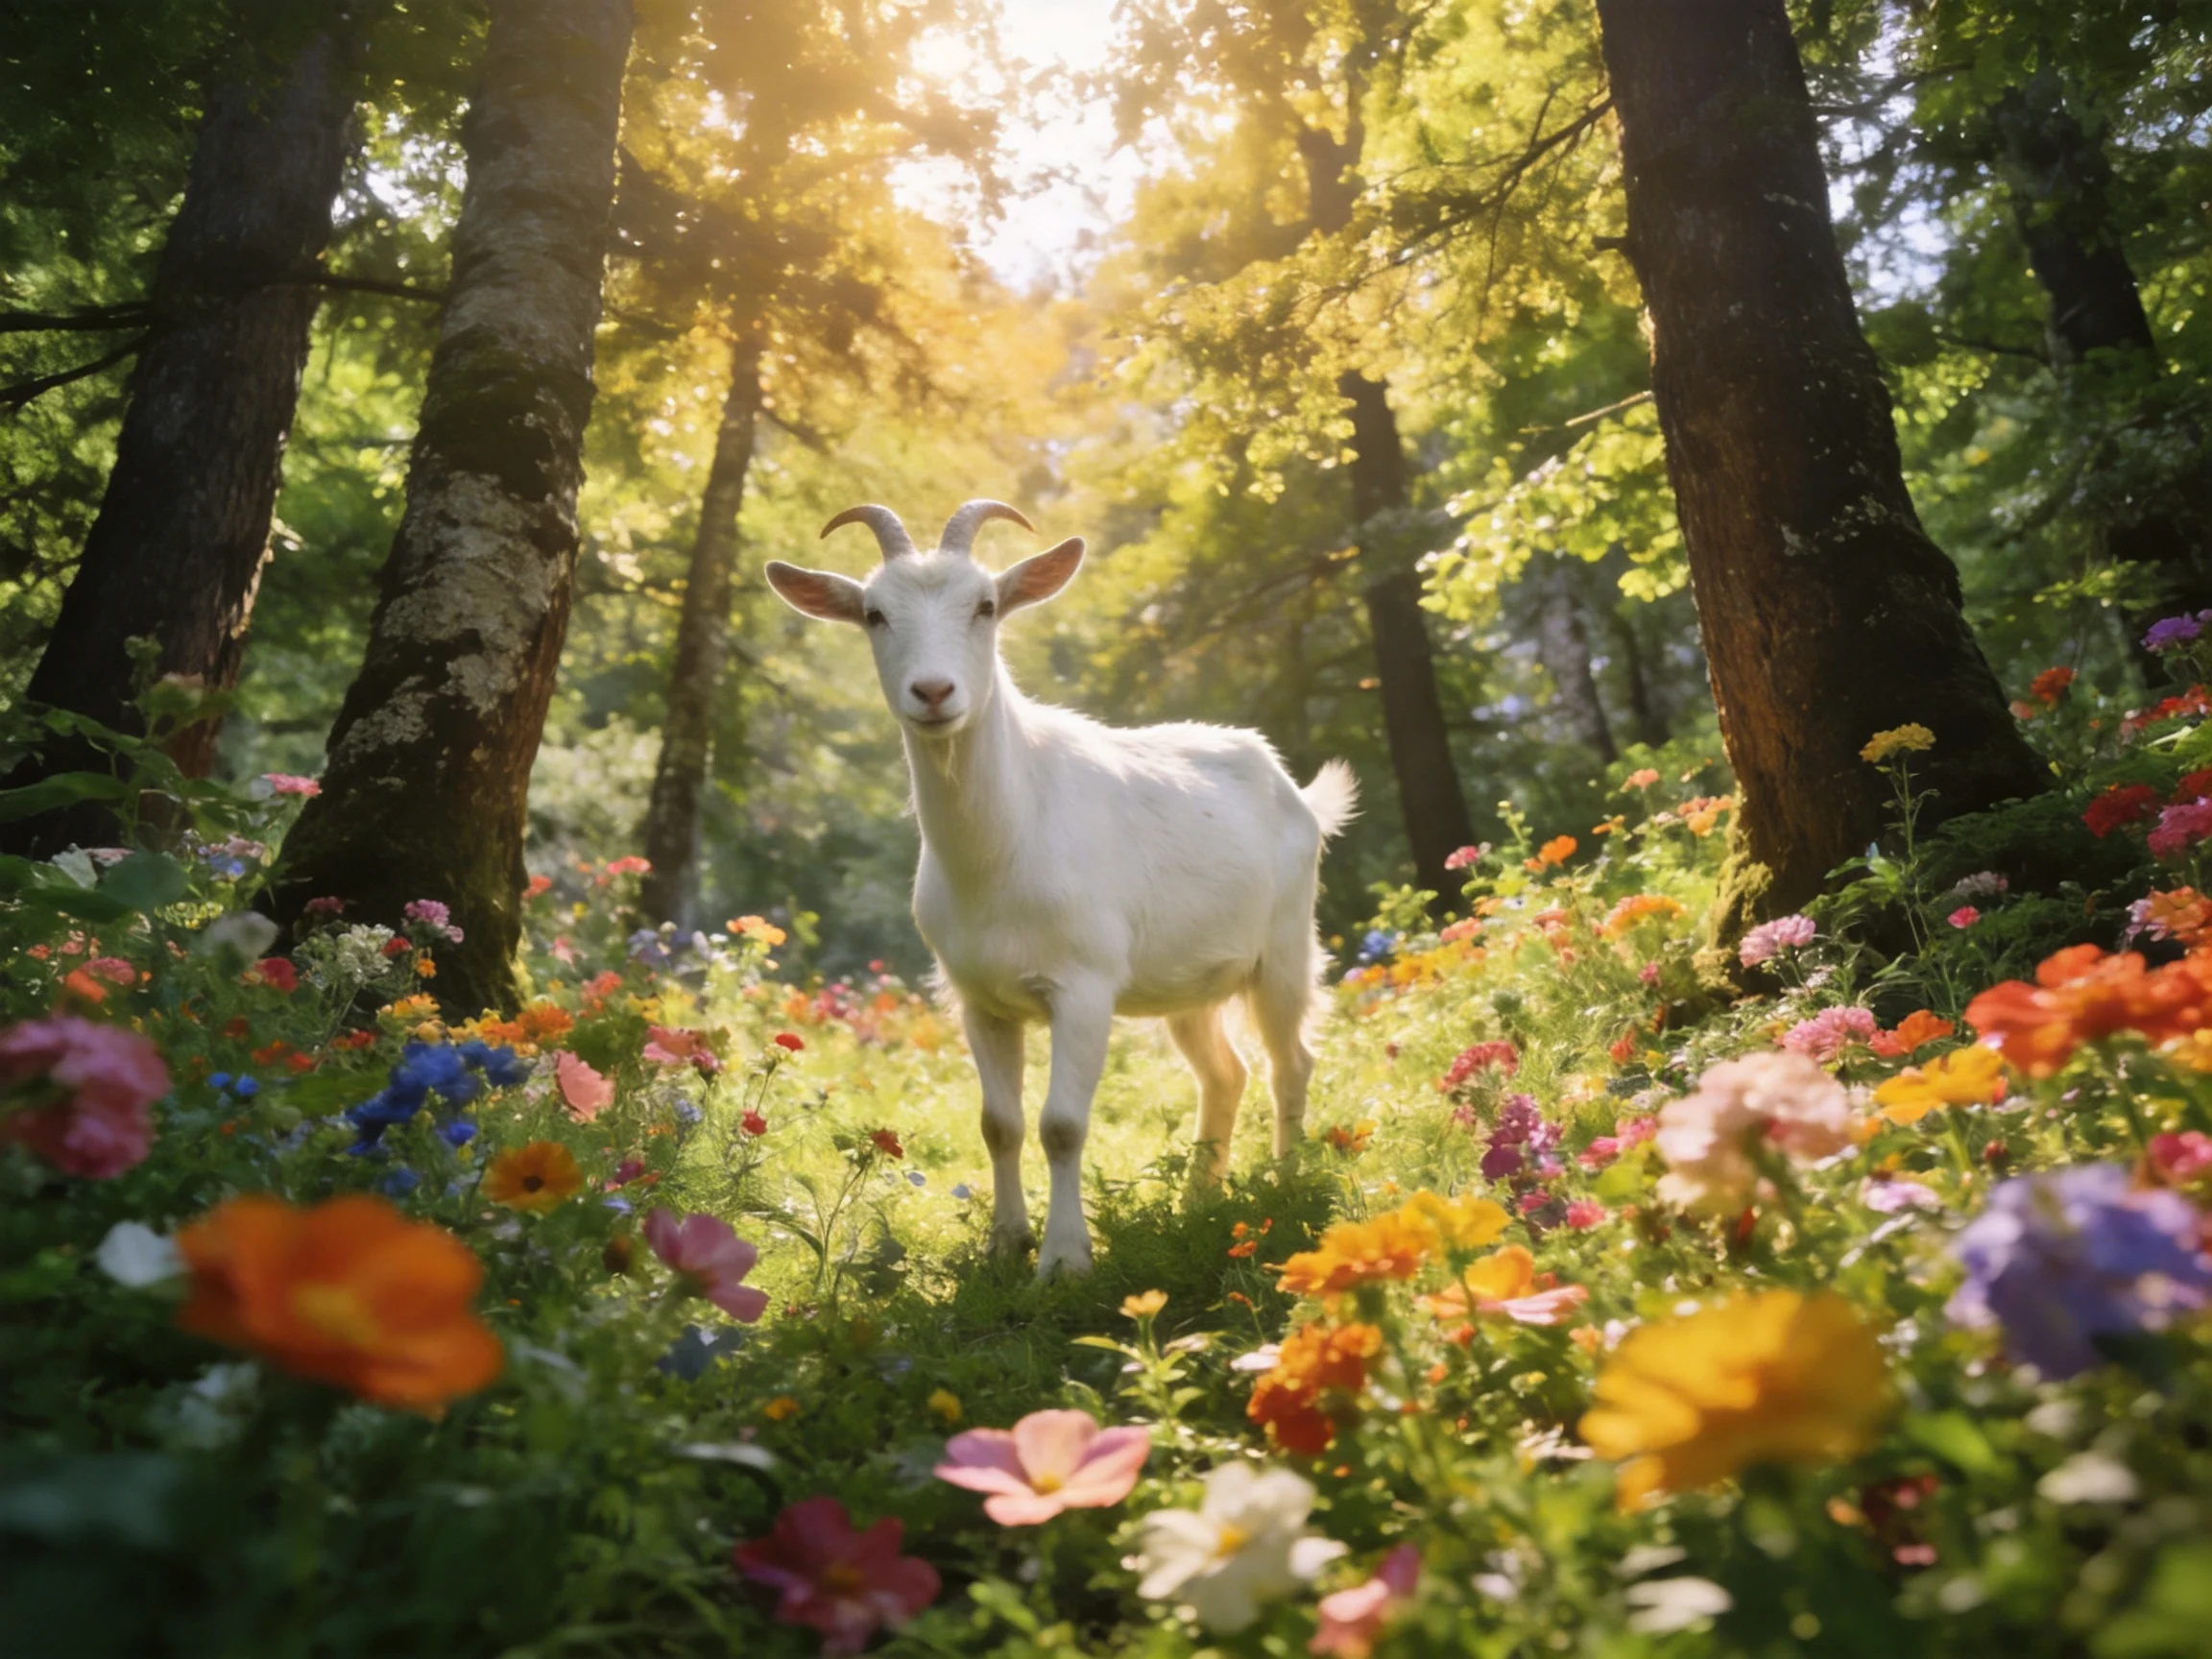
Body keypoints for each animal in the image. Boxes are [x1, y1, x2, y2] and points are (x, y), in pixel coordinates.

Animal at [764, 500, 1355, 1275]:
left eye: (986, 605)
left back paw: (1284, 1184)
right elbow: (1000, 1124)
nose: (933, 693)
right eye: (873, 614)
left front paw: (1065, 1260)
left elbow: (1063, 1125)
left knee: (1293, 1061)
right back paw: (1200, 1199)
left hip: (1285, 947)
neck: (1001, 849)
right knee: (1226, 1073)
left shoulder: (1085, 985)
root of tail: (1298, 793)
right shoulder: (978, 999)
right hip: (1189, 980)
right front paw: (1004, 1245)